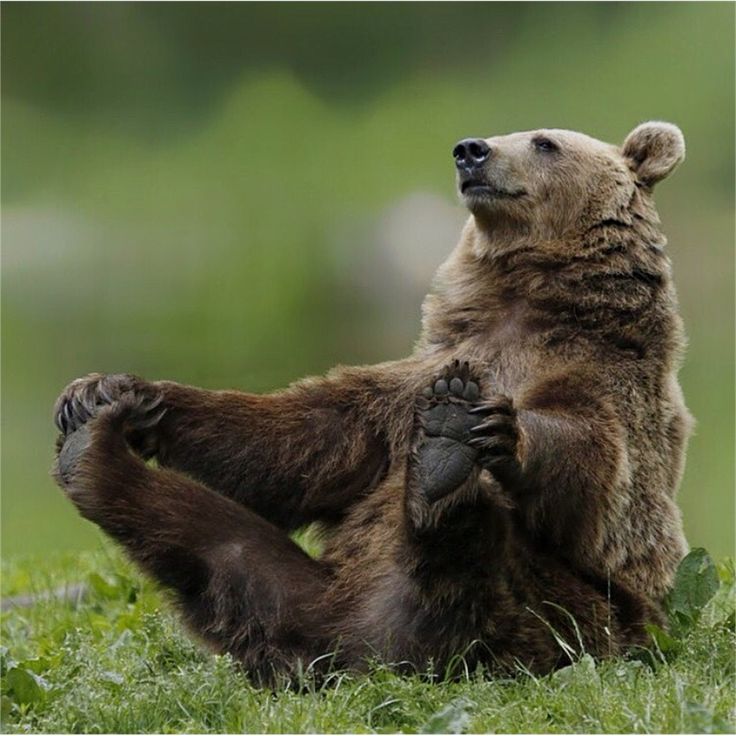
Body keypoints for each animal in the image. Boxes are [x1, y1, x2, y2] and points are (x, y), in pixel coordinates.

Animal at [51, 122, 688, 684]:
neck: (521, 308)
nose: (471, 150)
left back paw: (442, 469)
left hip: (567, 618)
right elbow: (302, 441)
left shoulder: (604, 378)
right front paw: (112, 390)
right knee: (215, 544)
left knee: (484, 560)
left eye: (545, 142)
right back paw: (90, 453)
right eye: (508, 133)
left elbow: (588, 456)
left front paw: (479, 421)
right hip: (303, 596)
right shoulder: (410, 384)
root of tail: (367, 653)